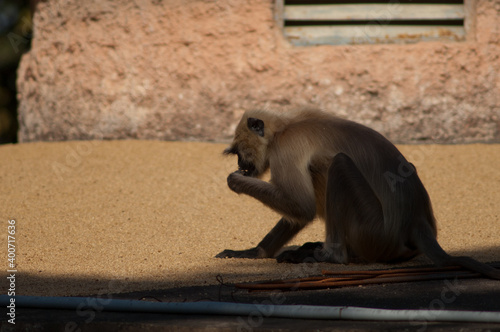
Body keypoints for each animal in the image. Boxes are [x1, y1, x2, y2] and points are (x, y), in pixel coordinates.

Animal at [217, 107, 500, 278]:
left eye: (240, 152)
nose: (241, 164)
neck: (283, 129)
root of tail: (417, 222)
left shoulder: (285, 149)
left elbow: (303, 207)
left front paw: (236, 182)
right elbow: (300, 214)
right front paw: (254, 252)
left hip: (373, 231)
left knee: (336, 164)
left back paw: (331, 256)